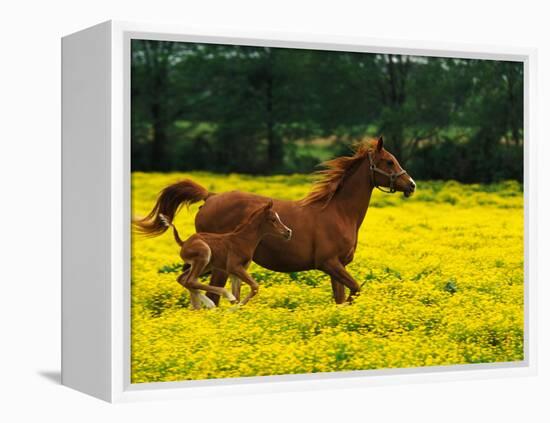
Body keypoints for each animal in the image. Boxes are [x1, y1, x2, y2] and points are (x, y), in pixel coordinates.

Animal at [160, 200, 294, 310]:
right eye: (273, 219)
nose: (288, 232)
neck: (243, 240)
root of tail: (184, 243)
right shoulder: (234, 267)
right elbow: (254, 286)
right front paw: (233, 308)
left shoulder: (236, 272)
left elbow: (238, 294)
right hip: (204, 255)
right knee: (191, 280)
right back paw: (216, 300)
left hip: (206, 265)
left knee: (183, 279)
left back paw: (200, 306)